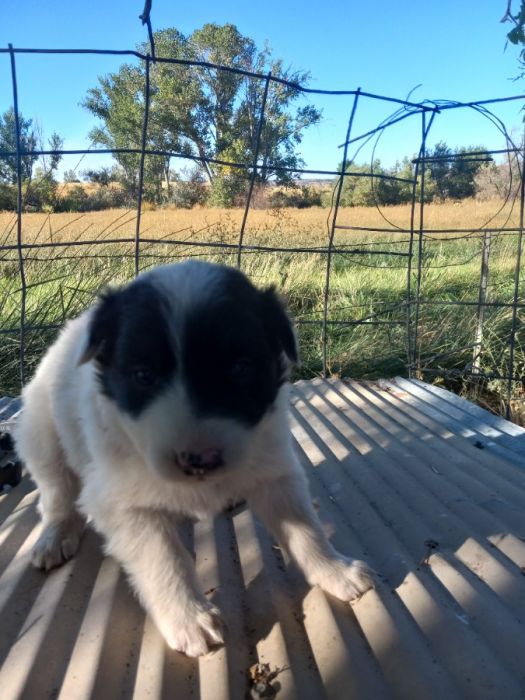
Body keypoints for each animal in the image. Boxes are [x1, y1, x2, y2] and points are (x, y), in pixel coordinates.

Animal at [13, 262, 372, 656]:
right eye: (143, 375)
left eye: (241, 369)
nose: (199, 460)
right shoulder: (122, 503)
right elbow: (164, 558)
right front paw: (190, 619)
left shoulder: (274, 468)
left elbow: (306, 528)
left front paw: (335, 571)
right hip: (40, 434)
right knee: (57, 493)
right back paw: (54, 537)